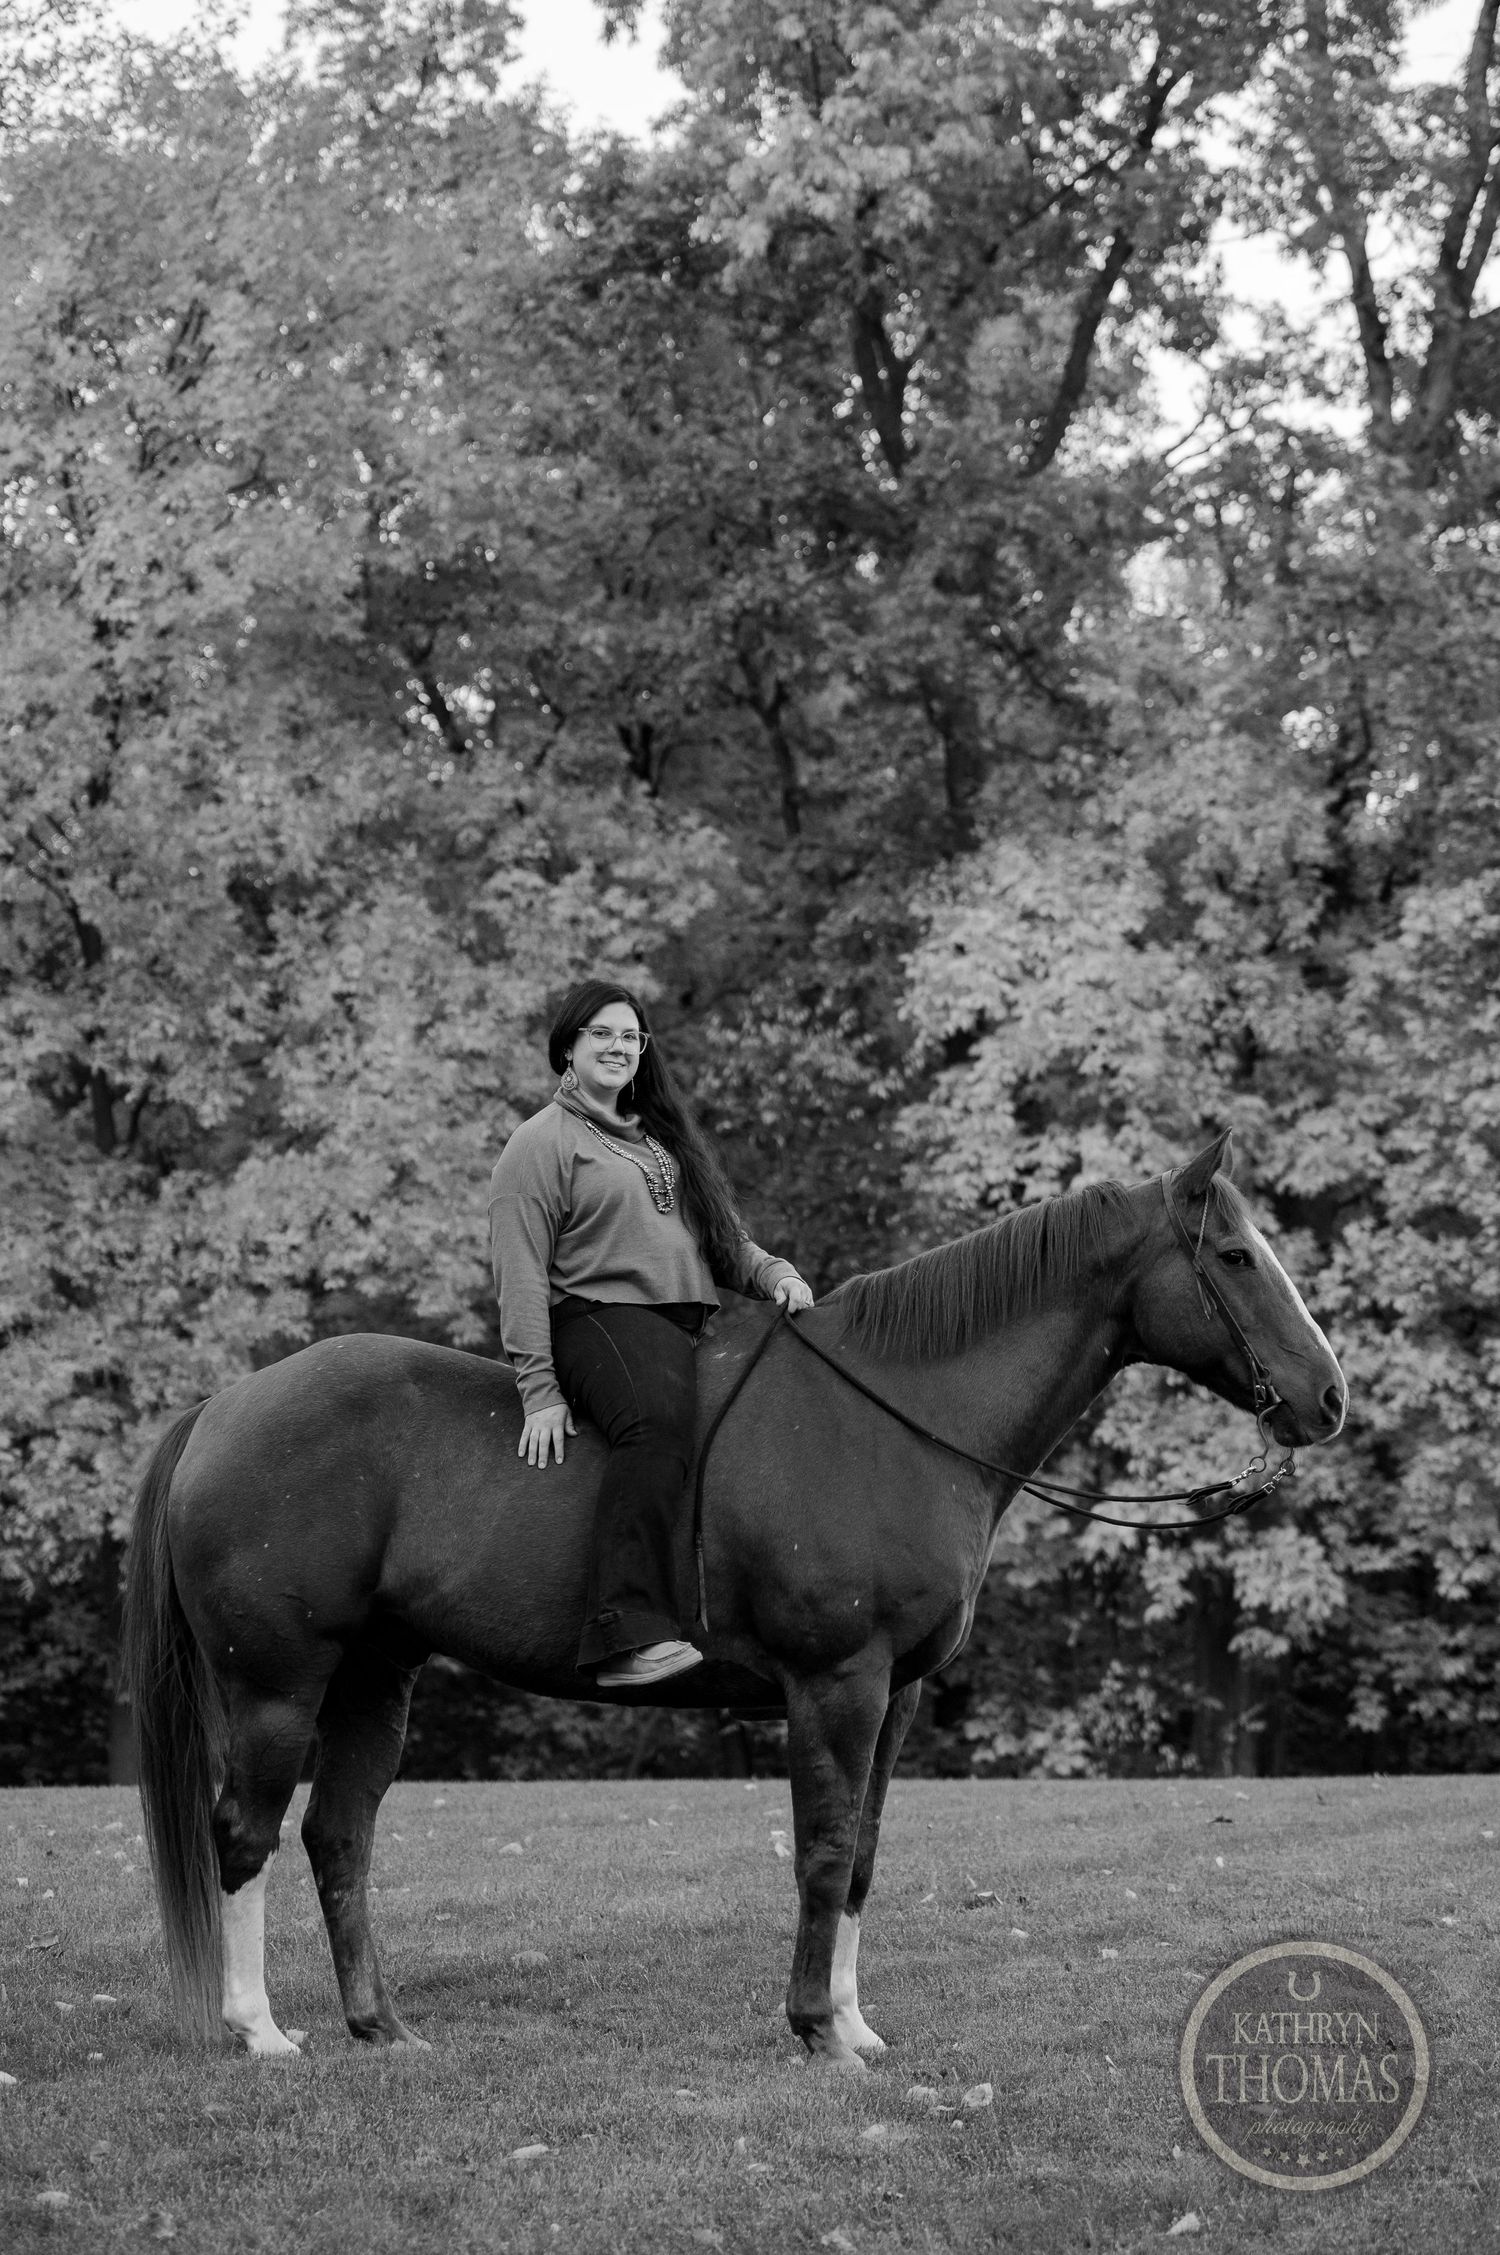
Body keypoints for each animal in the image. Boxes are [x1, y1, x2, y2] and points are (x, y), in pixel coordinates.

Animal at [121, 1129, 1347, 2069]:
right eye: (1235, 1253)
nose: (1329, 1397)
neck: (895, 1416)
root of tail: (224, 1403)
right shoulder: (836, 1684)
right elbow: (821, 1848)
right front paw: (818, 2029)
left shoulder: (895, 1697)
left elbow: (861, 1856)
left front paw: (853, 2019)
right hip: (276, 1686)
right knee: (245, 1832)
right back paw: (260, 2030)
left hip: (377, 1677)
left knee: (338, 1836)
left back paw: (379, 2026)